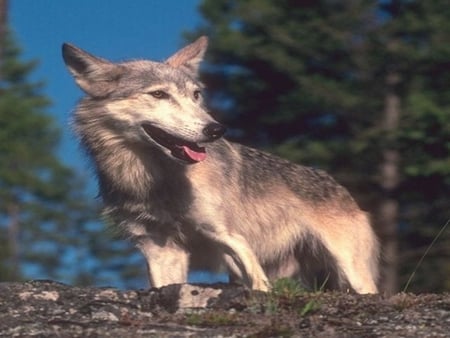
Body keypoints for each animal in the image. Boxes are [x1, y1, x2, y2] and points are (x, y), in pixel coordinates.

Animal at [62, 35, 380, 292]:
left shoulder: (228, 236)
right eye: (159, 94)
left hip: (352, 273)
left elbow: (259, 282)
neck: (154, 180)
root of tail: (341, 188)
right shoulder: (159, 249)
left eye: (196, 95)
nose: (216, 129)